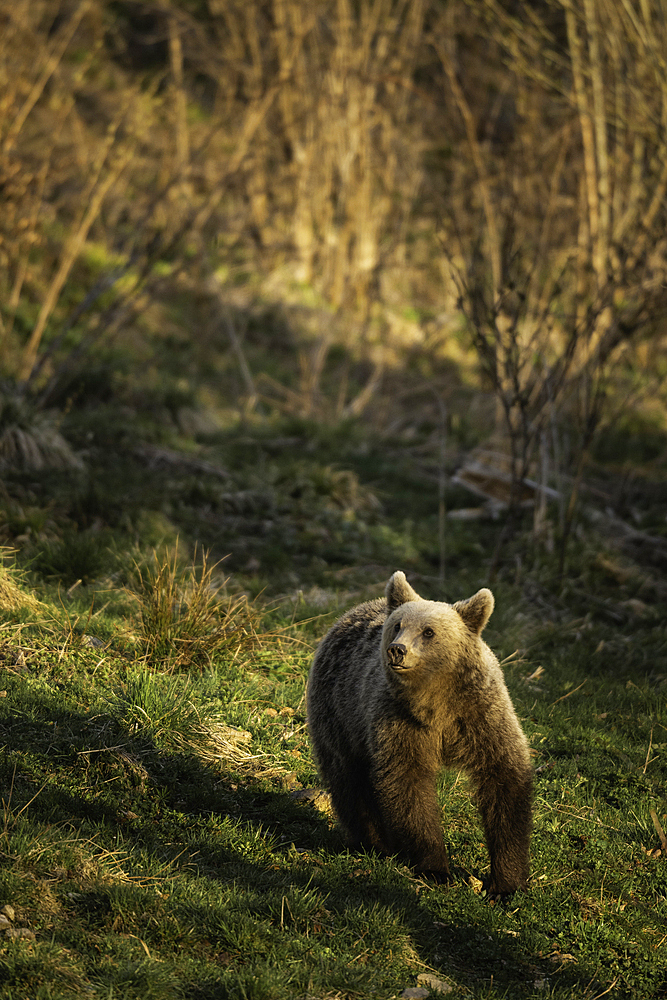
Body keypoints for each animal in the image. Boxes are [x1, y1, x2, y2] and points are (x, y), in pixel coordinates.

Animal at [306, 576, 532, 896]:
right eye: (398, 625)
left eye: (428, 631)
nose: (397, 650)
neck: (435, 701)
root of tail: (350, 612)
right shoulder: (400, 722)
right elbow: (408, 785)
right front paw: (436, 868)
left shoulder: (481, 716)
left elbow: (504, 782)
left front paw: (507, 882)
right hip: (340, 713)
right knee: (349, 779)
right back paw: (375, 843)